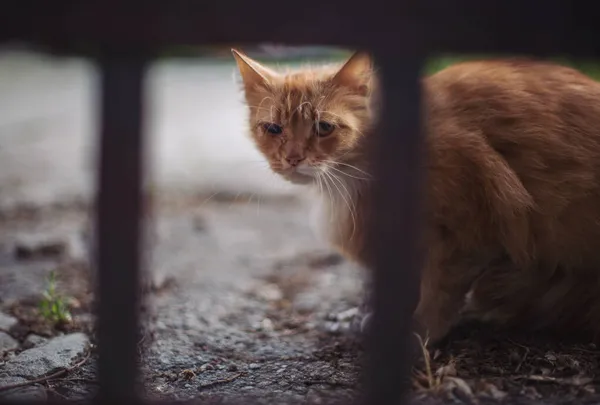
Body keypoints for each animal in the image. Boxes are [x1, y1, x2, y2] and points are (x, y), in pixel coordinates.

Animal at [233, 48, 600, 344]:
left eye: (324, 127)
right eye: (273, 129)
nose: (293, 158)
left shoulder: (467, 233)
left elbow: (439, 291)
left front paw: (418, 331)